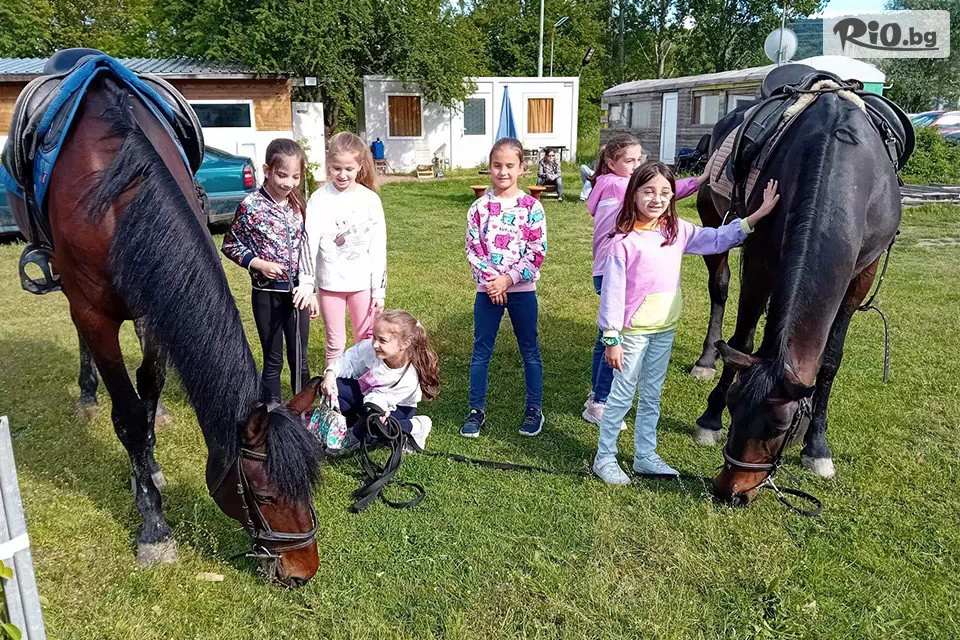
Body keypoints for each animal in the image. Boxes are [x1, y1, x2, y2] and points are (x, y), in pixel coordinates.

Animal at [41, 72, 323, 586]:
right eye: (265, 497)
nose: (303, 571)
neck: (120, 204)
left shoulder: (158, 301)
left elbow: (150, 387)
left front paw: (148, 469)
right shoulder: (94, 313)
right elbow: (130, 417)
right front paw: (153, 523)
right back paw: (88, 396)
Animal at [689, 91, 902, 504]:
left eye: (780, 427)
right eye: (733, 406)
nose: (729, 490)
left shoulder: (861, 274)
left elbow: (829, 362)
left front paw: (817, 448)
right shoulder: (758, 259)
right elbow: (742, 341)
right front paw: (709, 419)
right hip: (710, 215)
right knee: (719, 288)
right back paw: (707, 359)